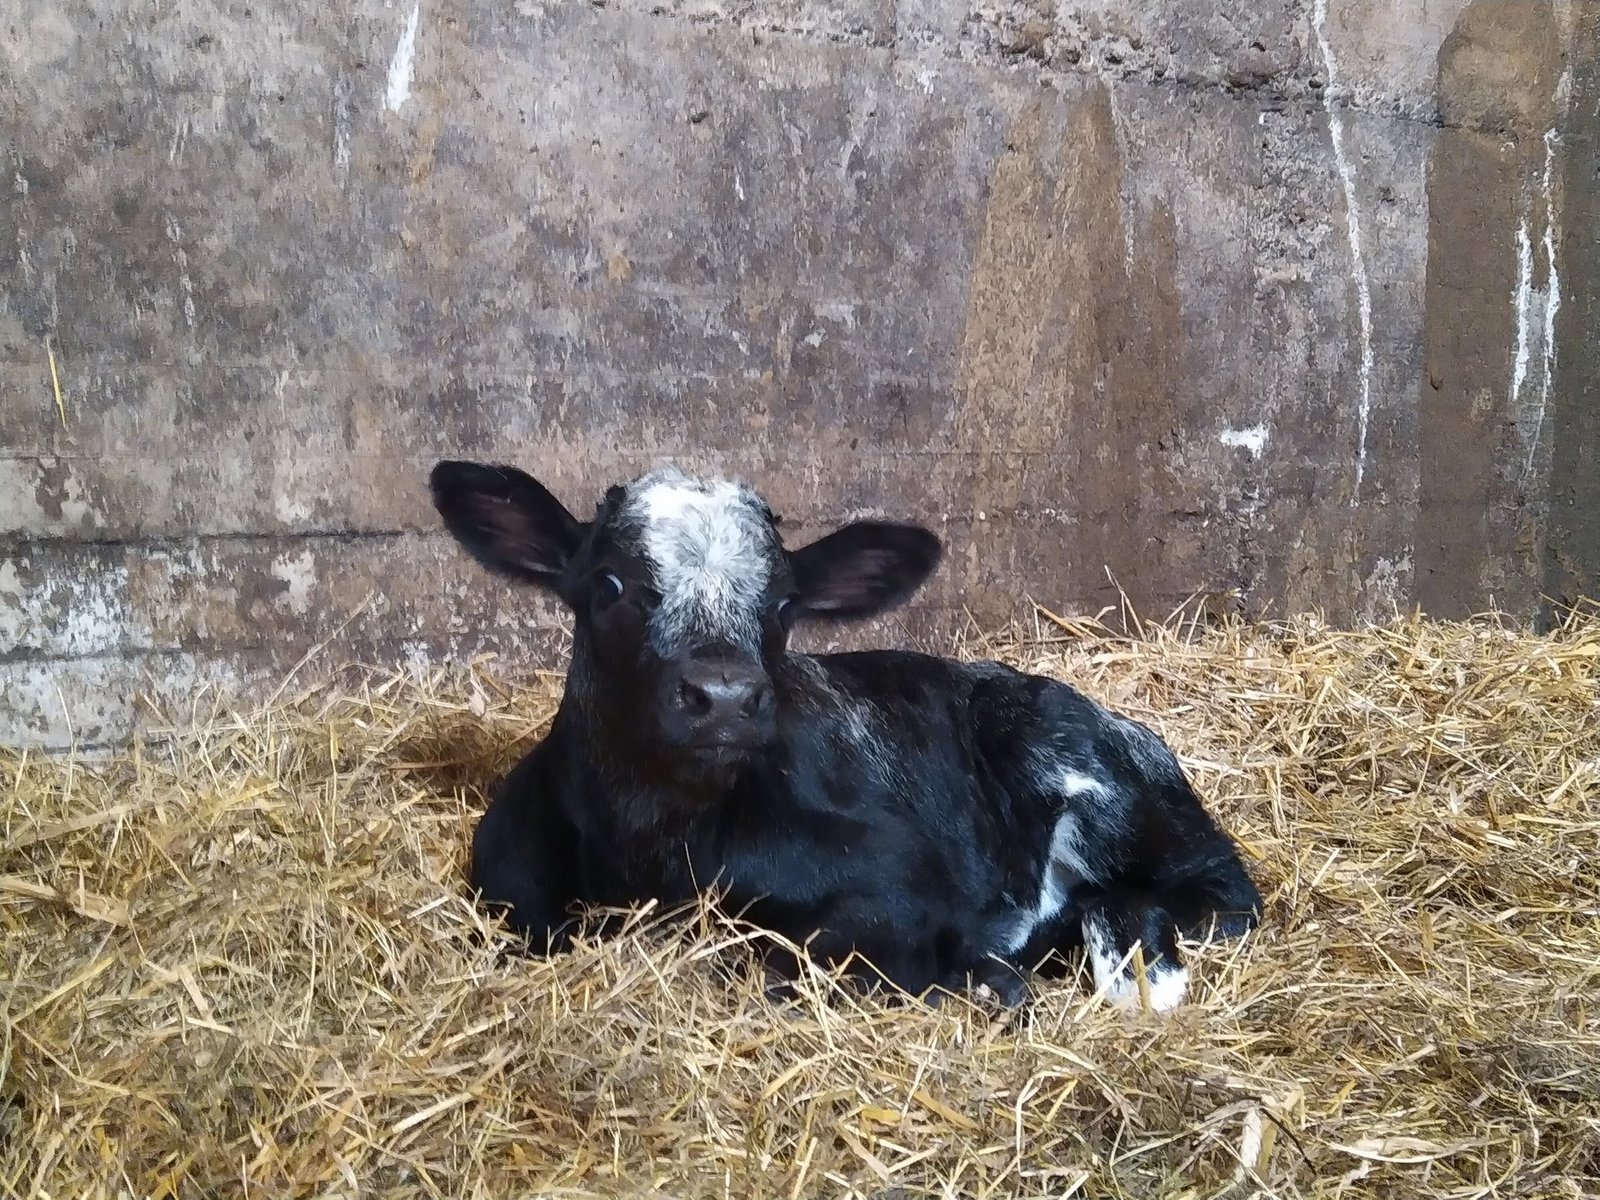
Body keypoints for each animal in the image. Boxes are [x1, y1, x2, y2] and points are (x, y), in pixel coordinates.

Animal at [429, 460, 1262, 1011]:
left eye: (783, 603)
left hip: (1079, 767)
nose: (724, 697)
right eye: (608, 584)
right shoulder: (506, 888)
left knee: (1212, 893)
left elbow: (801, 964)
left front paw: (980, 976)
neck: (655, 852)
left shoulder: (899, 877)